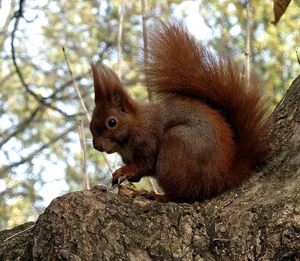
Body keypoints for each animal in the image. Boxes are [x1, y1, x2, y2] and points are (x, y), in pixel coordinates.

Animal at [89, 21, 270, 202]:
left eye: (112, 122)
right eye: (91, 123)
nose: (97, 146)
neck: (134, 125)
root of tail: (219, 179)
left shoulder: (147, 139)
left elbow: (145, 164)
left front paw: (124, 172)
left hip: (176, 146)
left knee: (179, 194)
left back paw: (154, 195)